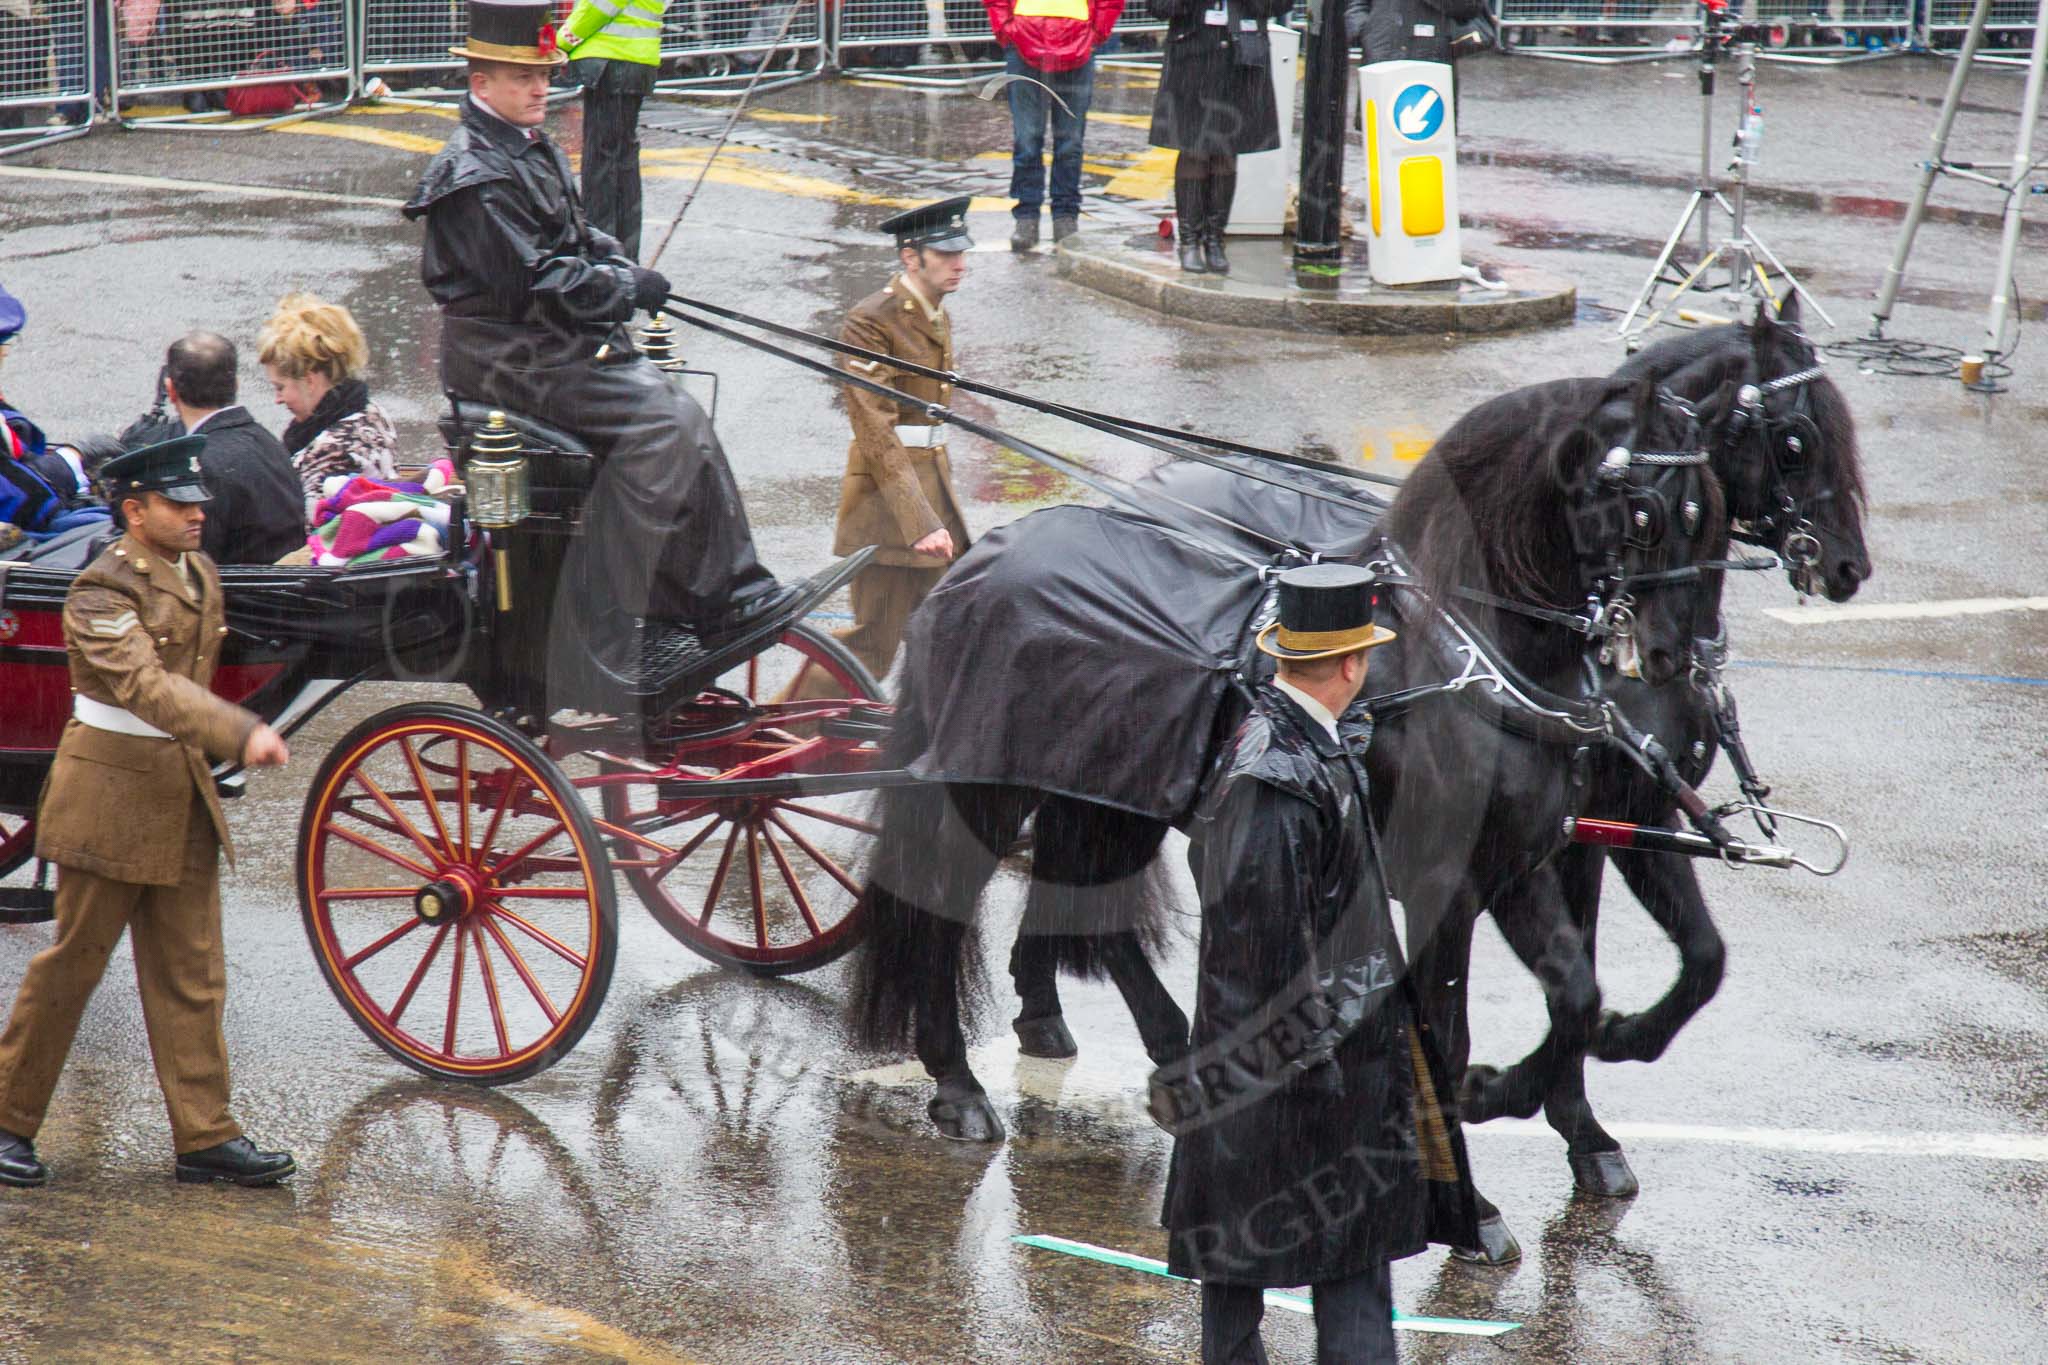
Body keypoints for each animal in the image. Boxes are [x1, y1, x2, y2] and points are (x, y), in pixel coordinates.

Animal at [839, 374, 1720, 1219]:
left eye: (1711, 515)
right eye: (1650, 510)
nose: (1674, 661)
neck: (1465, 657)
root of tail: (971, 562)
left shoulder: (1521, 861)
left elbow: (1584, 992)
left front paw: (1550, 1077)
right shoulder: (1448, 881)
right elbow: (1452, 1032)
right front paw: (1473, 1190)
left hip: (1114, 790)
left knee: (1093, 907)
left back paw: (1174, 1062)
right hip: (984, 794)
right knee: (939, 912)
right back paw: (958, 1083)